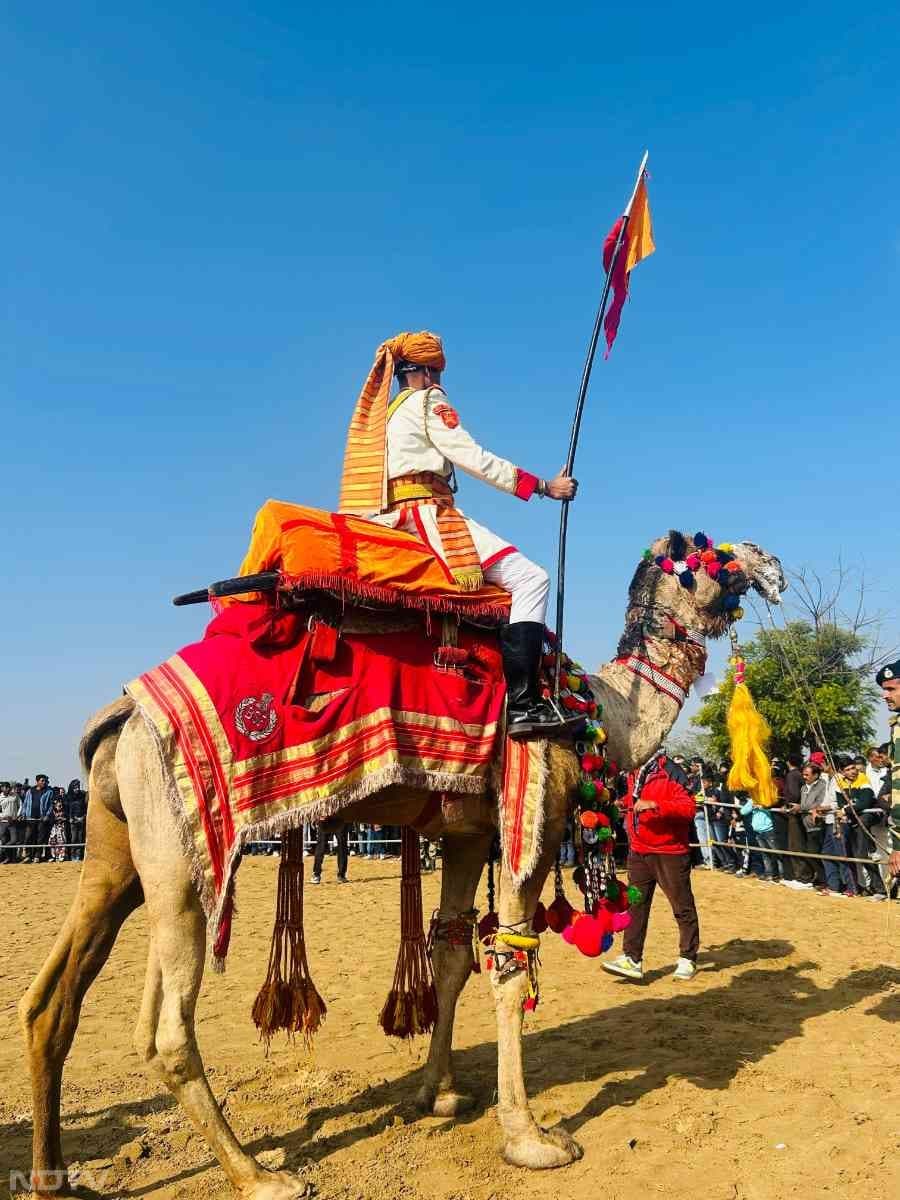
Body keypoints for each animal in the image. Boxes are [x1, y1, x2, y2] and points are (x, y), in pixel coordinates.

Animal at [19, 535, 782, 1200]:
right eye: (712, 552)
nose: (769, 562)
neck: (599, 712)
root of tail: (120, 714)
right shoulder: (529, 821)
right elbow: (510, 970)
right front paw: (530, 1138)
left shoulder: (468, 834)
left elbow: (451, 956)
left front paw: (438, 1093)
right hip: (180, 851)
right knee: (169, 1032)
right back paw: (261, 1176)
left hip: (128, 851)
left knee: (57, 999)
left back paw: (55, 1179)